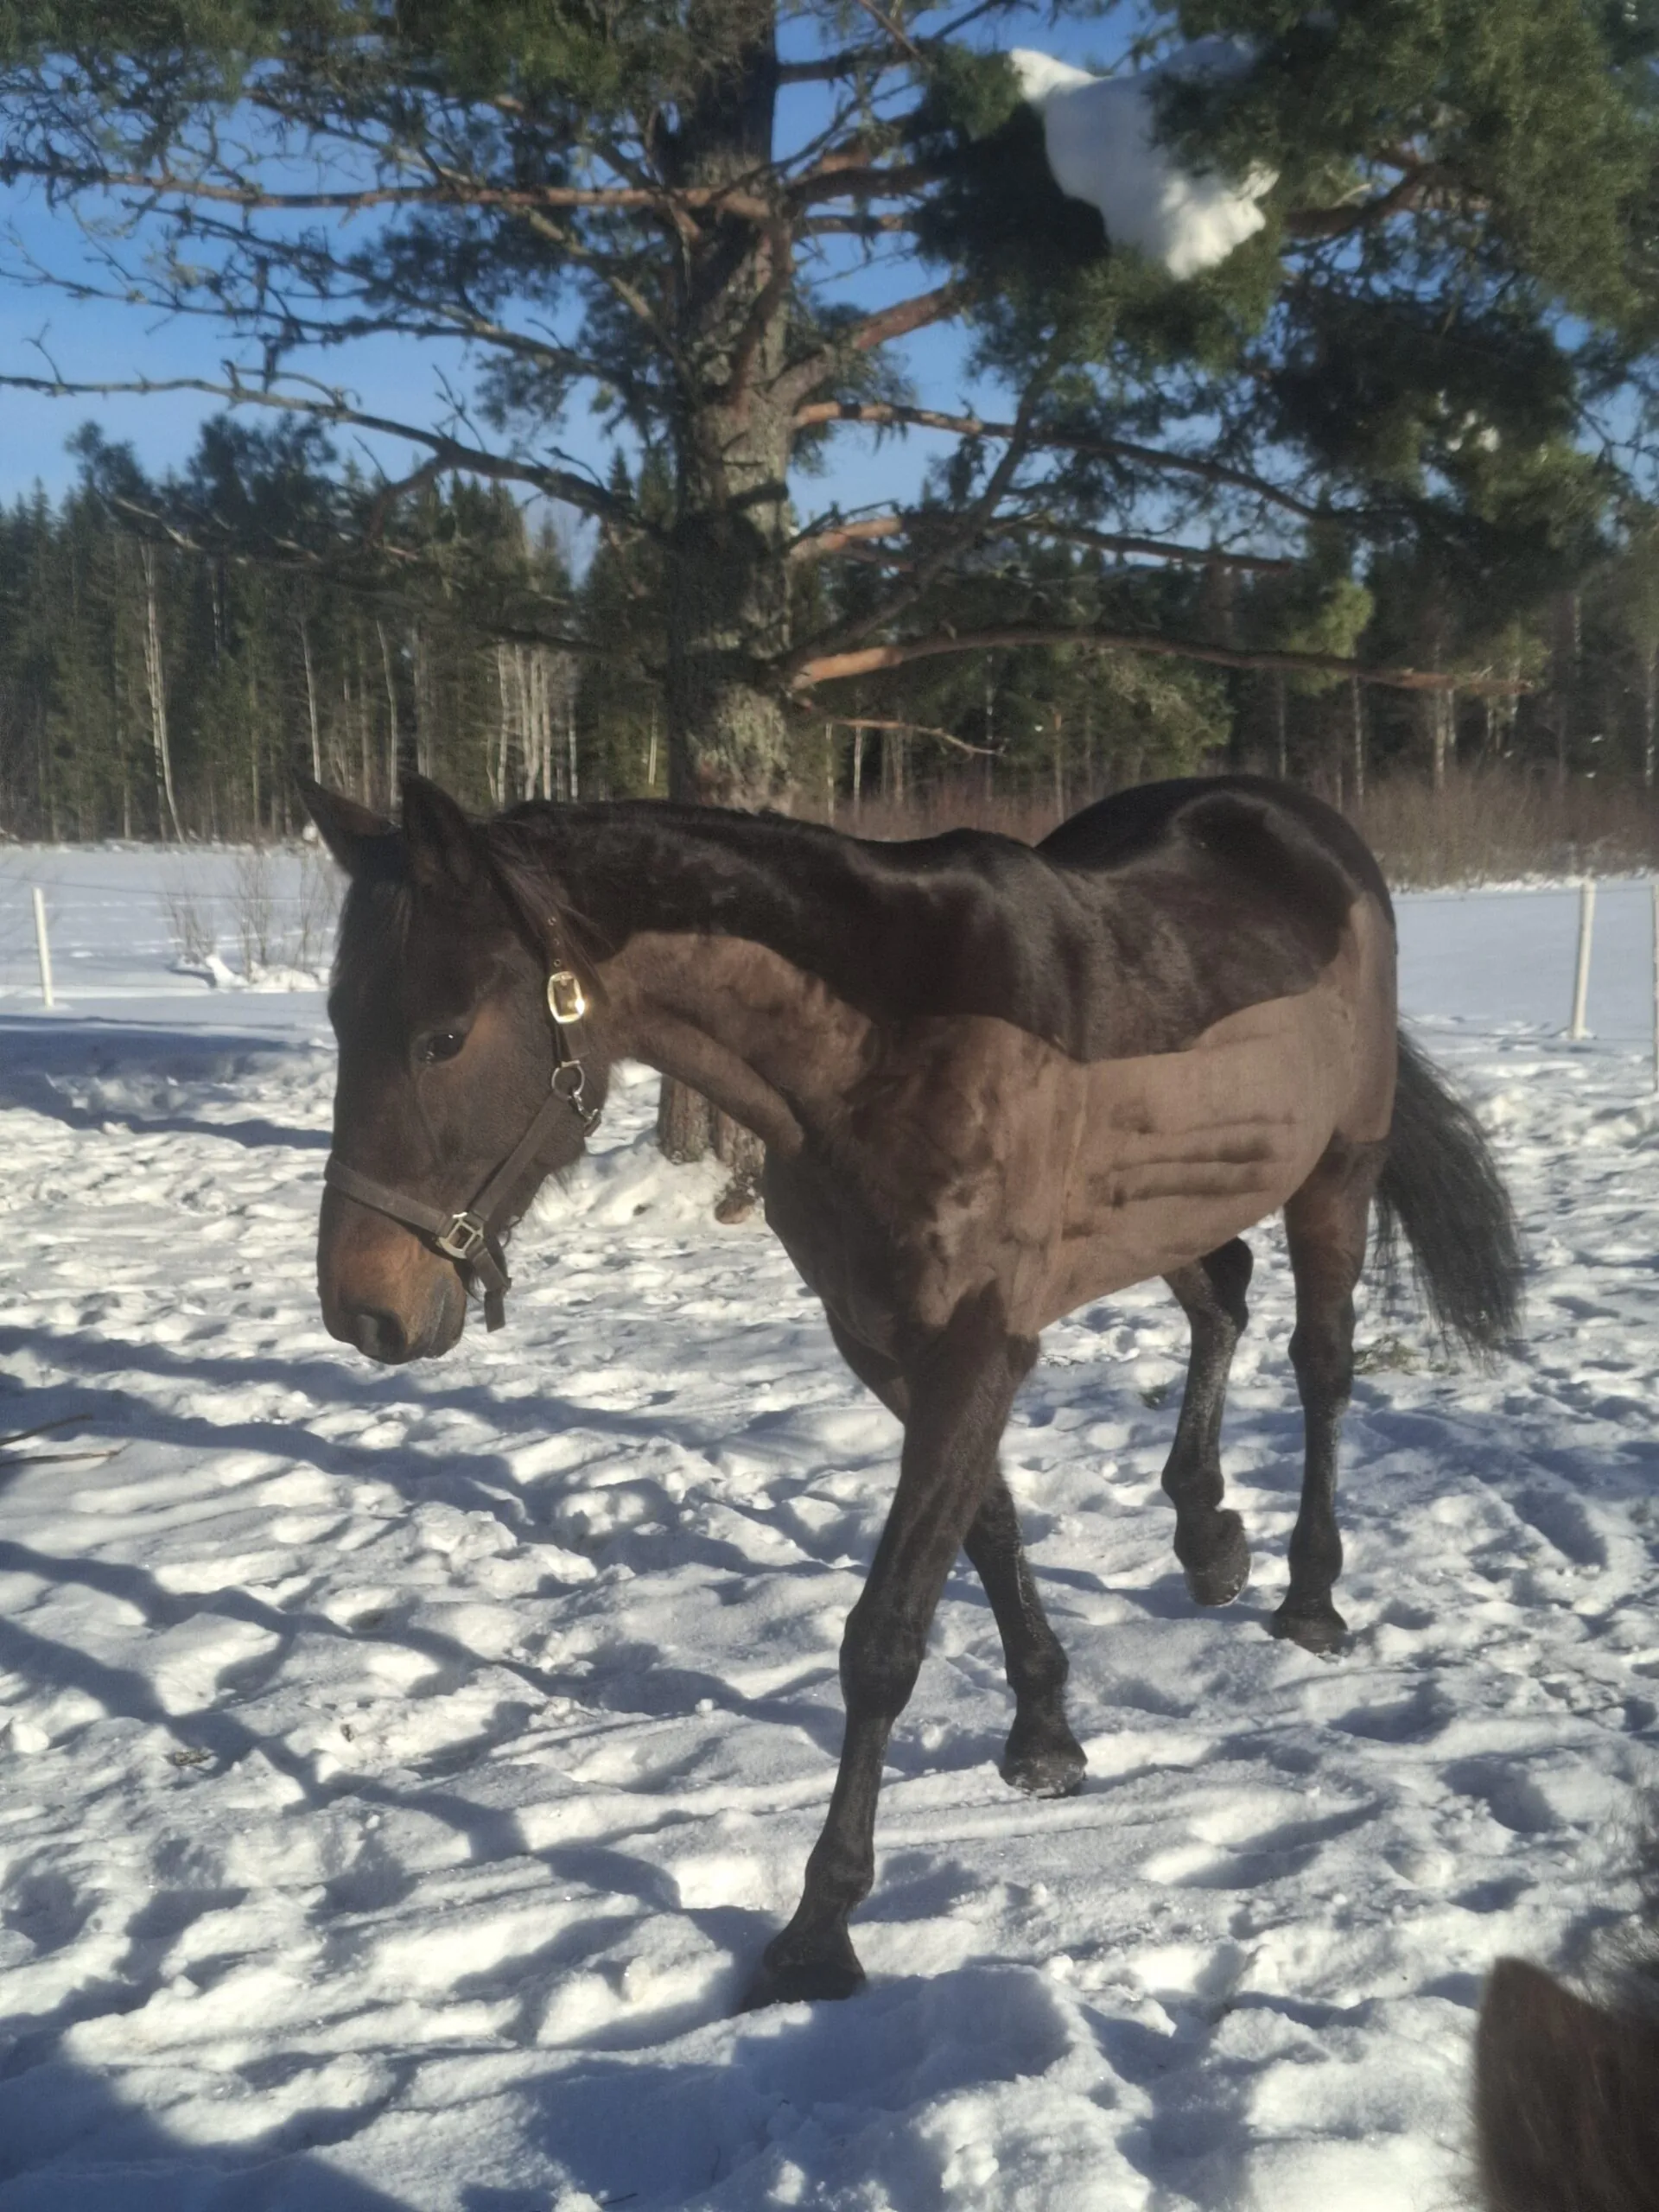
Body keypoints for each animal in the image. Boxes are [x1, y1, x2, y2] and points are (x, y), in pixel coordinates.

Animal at [300, 770, 1521, 2007]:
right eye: (340, 1021)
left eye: (444, 1036)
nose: (363, 1308)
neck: (883, 1050)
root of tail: (1307, 830)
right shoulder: (886, 1344)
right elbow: (987, 1525)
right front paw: (1044, 1729)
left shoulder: (977, 1343)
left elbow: (884, 1635)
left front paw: (817, 1929)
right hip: (1167, 1205)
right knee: (1221, 1292)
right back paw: (1207, 1533)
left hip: (1334, 1179)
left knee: (1322, 1367)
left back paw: (1311, 1595)